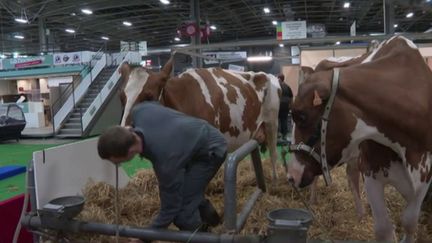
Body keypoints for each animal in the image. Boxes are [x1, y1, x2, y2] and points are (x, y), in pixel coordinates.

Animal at [119, 59, 280, 180]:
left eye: (149, 96)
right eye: (121, 97)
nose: (125, 133)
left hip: (272, 123)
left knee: (273, 154)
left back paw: (275, 181)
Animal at [286, 34, 432, 243]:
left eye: (301, 116)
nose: (291, 175)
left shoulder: (424, 177)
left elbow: (410, 222)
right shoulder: (370, 170)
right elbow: (383, 230)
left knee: (351, 174)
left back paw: (361, 213)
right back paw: (315, 201)